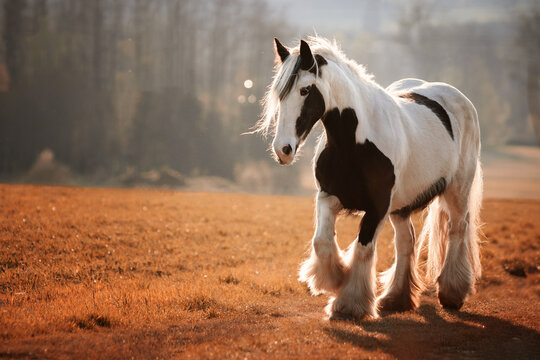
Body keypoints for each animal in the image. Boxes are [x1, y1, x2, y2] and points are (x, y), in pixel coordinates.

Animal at [255, 35, 484, 320]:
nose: (282, 150)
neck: (354, 143)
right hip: (402, 207)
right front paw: (335, 278)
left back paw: (452, 292)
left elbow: (363, 248)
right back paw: (396, 298)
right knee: (406, 241)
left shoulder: (378, 208)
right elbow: (322, 241)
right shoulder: (328, 196)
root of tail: (456, 97)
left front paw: (350, 303)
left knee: (456, 229)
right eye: (280, 93)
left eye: (305, 90)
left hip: (457, 191)